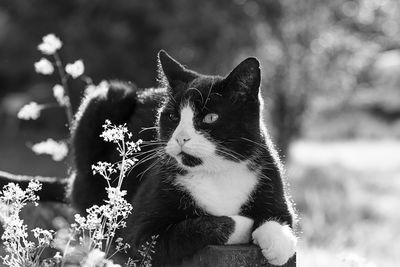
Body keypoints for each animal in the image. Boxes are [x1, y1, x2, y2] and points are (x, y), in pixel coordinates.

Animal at [0, 50, 296, 266]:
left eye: (211, 117)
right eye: (173, 116)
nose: (181, 138)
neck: (217, 173)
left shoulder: (270, 178)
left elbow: (280, 219)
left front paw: (278, 244)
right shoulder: (137, 234)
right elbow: (192, 228)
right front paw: (245, 225)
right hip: (109, 96)